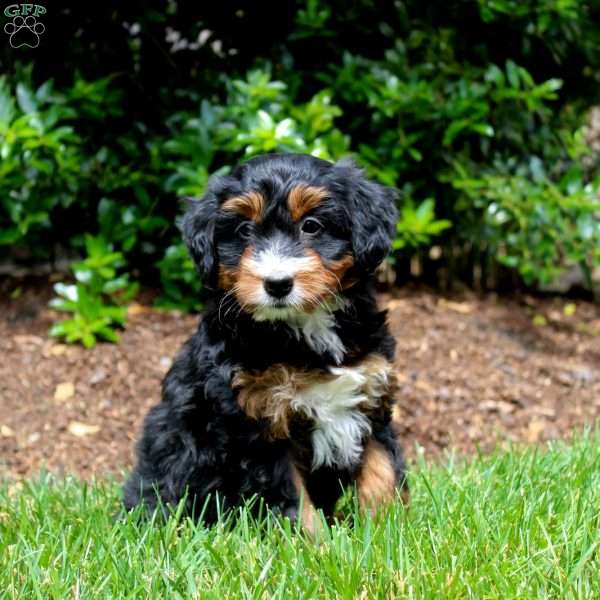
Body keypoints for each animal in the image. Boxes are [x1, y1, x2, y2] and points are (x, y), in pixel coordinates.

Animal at [123, 152, 408, 532]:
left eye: (311, 226)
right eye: (245, 230)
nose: (277, 284)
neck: (303, 329)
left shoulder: (371, 395)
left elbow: (382, 469)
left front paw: (386, 530)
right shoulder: (260, 424)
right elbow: (291, 496)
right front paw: (314, 541)